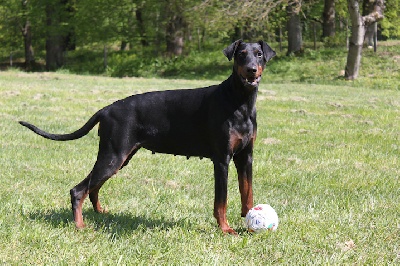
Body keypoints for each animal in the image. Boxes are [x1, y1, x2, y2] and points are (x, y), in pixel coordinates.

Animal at [18, 40, 276, 235]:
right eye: (241, 55)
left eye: (259, 54)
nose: (251, 69)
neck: (239, 101)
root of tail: (106, 109)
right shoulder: (222, 159)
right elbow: (221, 201)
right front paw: (225, 229)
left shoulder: (245, 157)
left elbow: (247, 192)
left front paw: (248, 218)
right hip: (114, 156)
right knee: (78, 190)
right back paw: (80, 225)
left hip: (120, 158)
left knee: (93, 187)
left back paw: (100, 213)